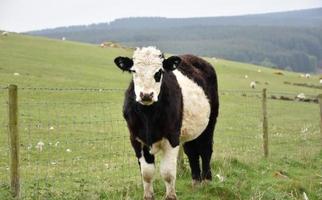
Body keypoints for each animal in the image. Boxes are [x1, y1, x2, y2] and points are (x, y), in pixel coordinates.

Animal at [114, 47, 219, 200]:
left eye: (159, 72)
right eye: (134, 71)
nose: (146, 95)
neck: (148, 116)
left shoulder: (172, 138)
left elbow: (168, 173)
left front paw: (170, 196)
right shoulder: (136, 139)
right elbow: (146, 173)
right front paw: (148, 196)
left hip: (210, 122)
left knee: (205, 150)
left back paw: (206, 182)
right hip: (189, 131)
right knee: (192, 152)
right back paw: (195, 182)